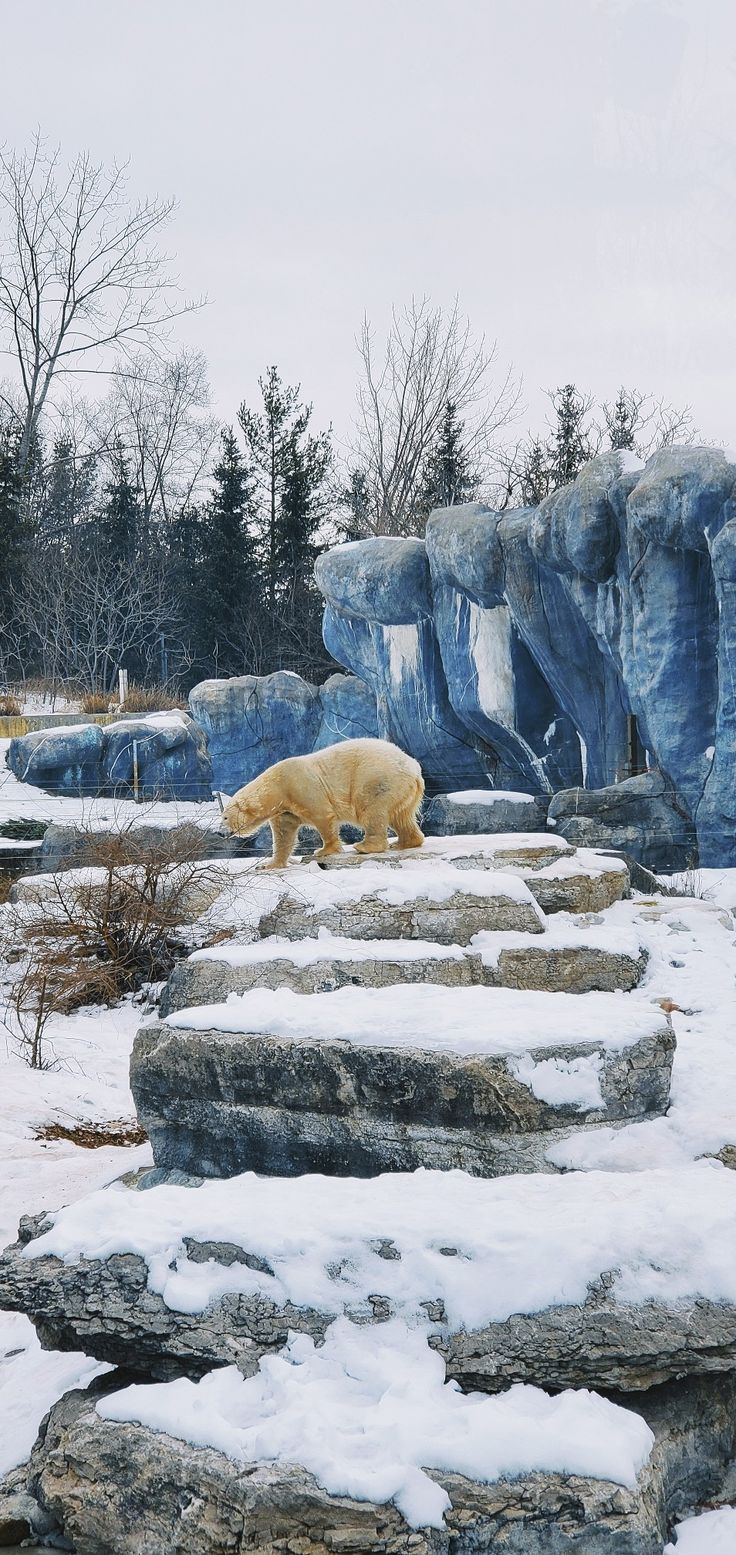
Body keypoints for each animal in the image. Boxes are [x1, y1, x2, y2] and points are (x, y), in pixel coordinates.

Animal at [220, 737, 423, 870]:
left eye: (225, 817)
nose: (220, 832)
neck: (278, 787)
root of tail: (414, 768)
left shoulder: (300, 785)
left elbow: (322, 815)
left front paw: (324, 850)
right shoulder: (285, 810)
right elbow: (284, 835)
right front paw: (269, 865)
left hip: (377, 779)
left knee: (372, 811)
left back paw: (365, 846)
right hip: (402, 790)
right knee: (401, 816)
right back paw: (403, 843)